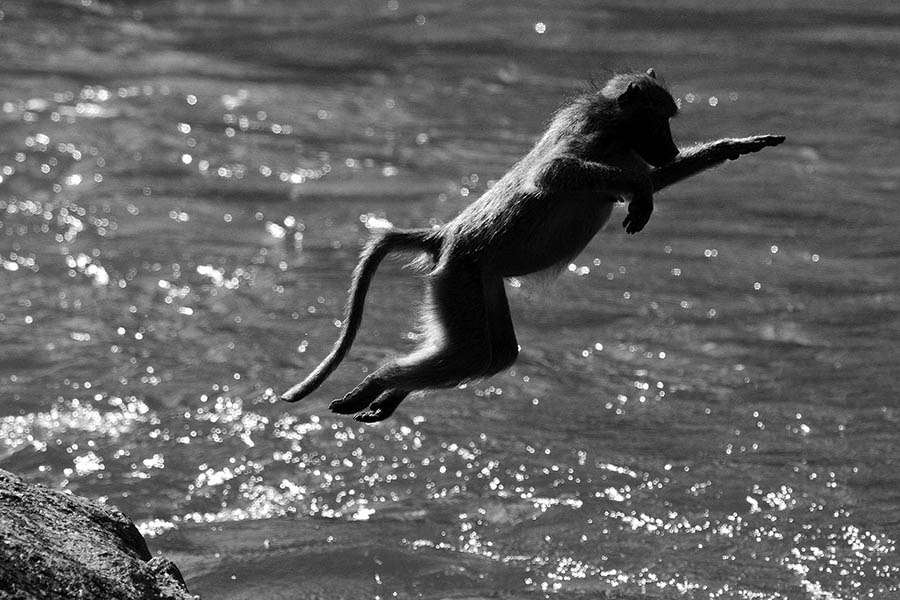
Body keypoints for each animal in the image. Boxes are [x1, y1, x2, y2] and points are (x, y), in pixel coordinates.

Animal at [281, 69, 785, 422]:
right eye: (659, 121)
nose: (672, 149)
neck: (612, 127)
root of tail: (445, 235)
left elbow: (646, 179)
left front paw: (731, 147)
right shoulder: (587, 141)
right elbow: (555, 175)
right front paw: (642, 191)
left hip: (478, 280)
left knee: (495, 353)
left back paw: (388, 395)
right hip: (461, 274)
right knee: (476, 354)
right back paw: (375, 382)